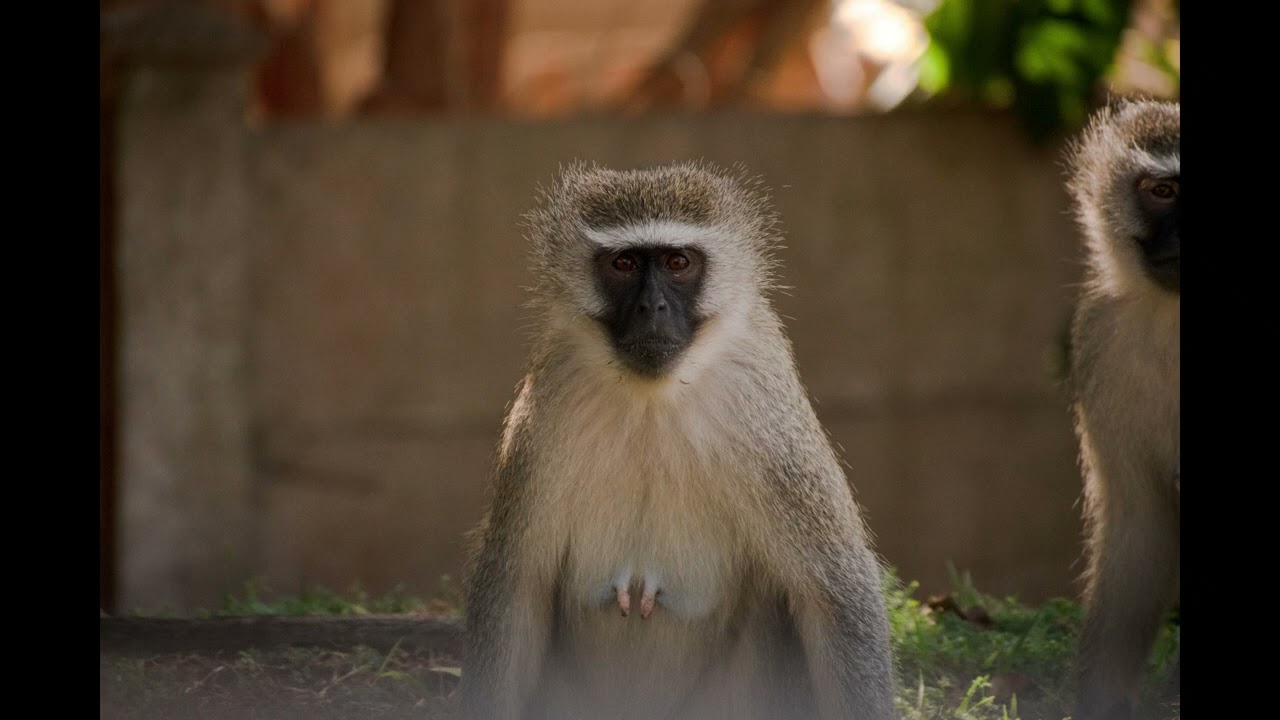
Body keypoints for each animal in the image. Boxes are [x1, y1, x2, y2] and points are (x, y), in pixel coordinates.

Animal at [457, 160, 898, 720]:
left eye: (677, 261)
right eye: (624, 263)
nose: (653, 306)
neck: (654, 396)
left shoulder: (767, 419)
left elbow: (835, 594)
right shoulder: (548, 404)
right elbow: (514, 589)